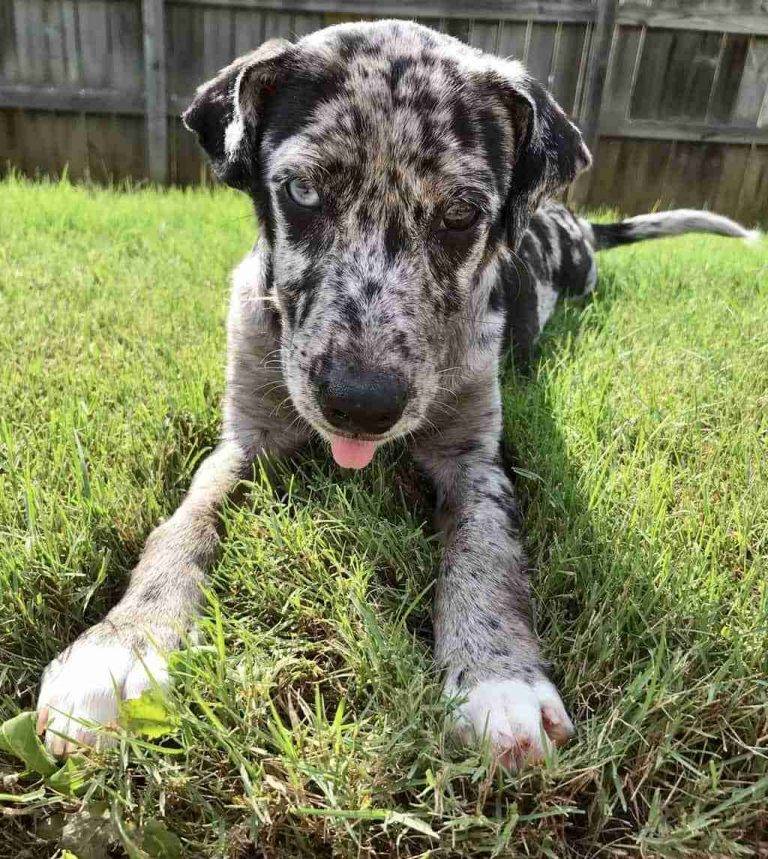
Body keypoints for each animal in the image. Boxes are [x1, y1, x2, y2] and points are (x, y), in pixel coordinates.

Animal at [36, 18, 756, 764]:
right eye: (300, 191)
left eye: (462, 213)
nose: (361, 403)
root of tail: (573, 221)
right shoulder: (243, 440)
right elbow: (183, 523)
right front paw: (121, 647)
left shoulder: (474, 459)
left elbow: (485, 550)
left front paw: (500, 679)